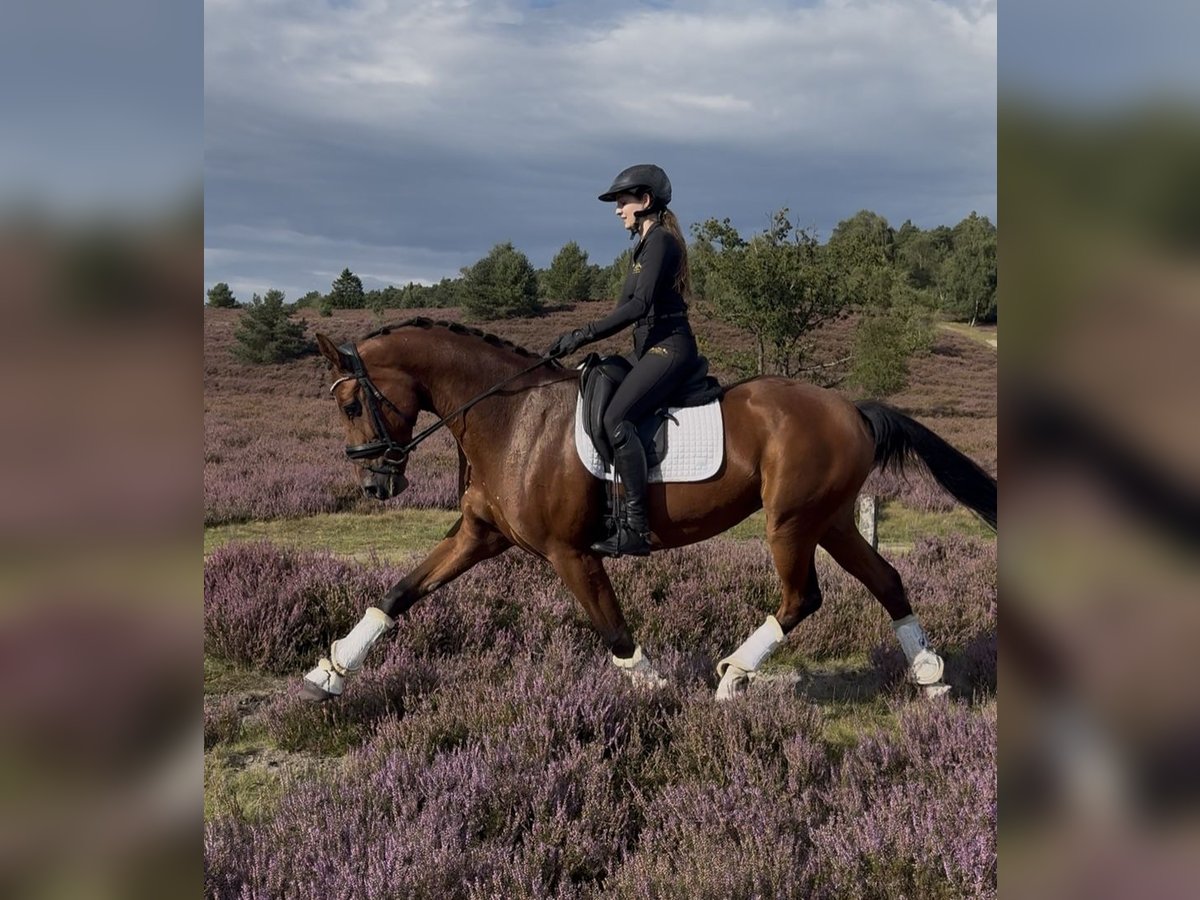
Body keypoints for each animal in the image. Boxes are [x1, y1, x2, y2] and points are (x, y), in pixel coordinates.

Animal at [300, 317, 996, 702]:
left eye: (352, 404)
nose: (375, 485)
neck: (513, 417)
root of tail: (852, 408)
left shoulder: (569, 552)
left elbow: (611, 626)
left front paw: (652, 684)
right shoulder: (478, 535)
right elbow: (398, 594)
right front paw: (330, 672)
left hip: (792, 522)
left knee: (803, 598)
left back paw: (734, 676)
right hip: (828, 519)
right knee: (887, 580)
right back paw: (929, 673)